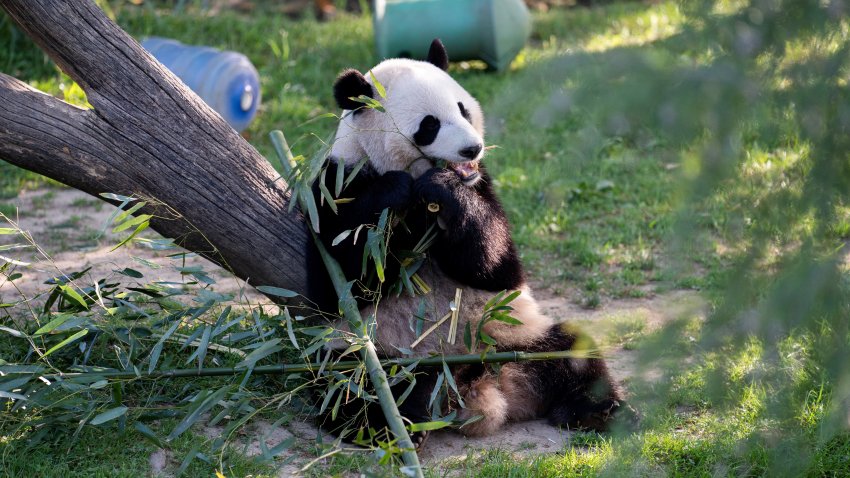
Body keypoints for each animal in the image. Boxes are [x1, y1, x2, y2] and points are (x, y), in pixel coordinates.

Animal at [308, 39, 632, 446]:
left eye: (463, 109)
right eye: (429, 125)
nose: (472, 149)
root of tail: (480, 384)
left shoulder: (483, 185)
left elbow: (496, 265)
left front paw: (445, 191)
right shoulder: (333, 186)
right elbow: (342, 278)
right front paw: (393, 192)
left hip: (516, 334)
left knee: (571, 351)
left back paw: (599, 410)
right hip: (373, 349)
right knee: (353, 386)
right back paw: (392, 426)